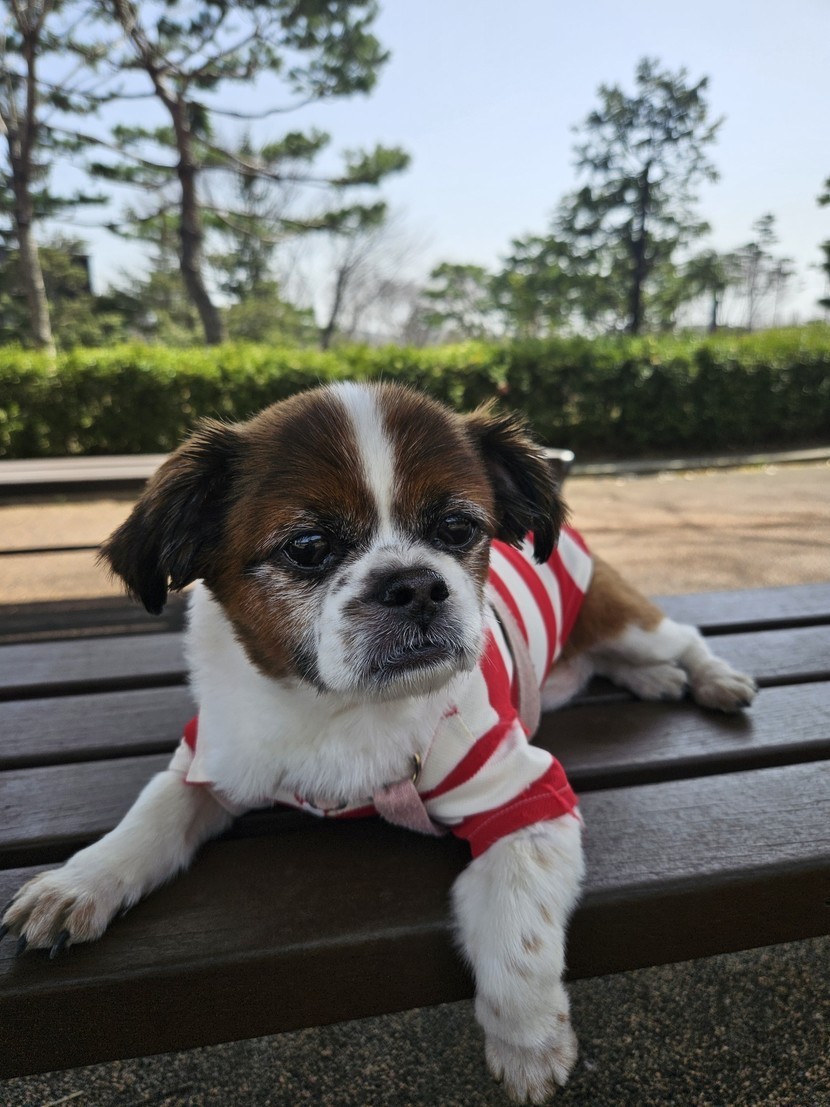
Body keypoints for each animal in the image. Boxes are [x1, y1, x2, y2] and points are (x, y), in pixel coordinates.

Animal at [1, 382, 756, 1103]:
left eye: (457, 527)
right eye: (307, 547)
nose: (415, 583)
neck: (340, 713)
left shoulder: (526, 795)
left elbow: (518, 932)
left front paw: (529, 1040)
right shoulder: (211, 757)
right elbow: (152, 817)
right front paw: (79, 881)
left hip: (621, 617)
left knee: (682, 637)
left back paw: (712, 678)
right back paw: (656, 680)